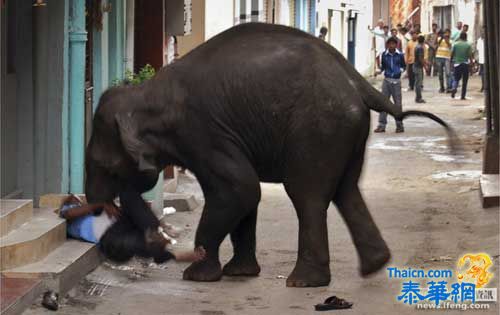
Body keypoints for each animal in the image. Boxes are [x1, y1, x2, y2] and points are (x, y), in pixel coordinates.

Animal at [87, 22, 458, 288]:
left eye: (105, 166)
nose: (100, 207)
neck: (147, 95)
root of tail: (358, 82)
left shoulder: (202, 132)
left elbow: (239, 190)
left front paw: (197, 275)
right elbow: (244, 196)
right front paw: (239, 274)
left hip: (318, 127)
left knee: (307, 195)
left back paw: (304, 282)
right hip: (346, 130)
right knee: (347, 190)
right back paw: (374, 266)